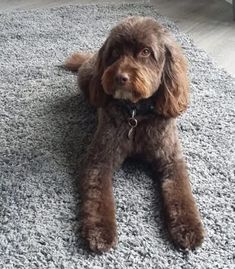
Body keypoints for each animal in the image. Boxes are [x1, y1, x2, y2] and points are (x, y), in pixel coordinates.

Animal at [64, 16, 204, 251]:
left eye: (146, 52)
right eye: (115, 52)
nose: (120, 77)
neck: (136, 115)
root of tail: (92, 57)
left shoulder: (170, 159)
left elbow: (181, 192)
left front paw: (188, 227)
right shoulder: (99, 159)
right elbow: (97, 196)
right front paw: (100, 231)